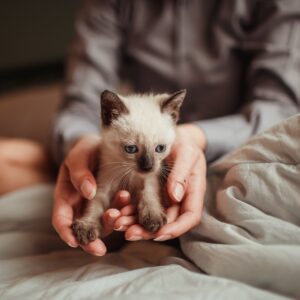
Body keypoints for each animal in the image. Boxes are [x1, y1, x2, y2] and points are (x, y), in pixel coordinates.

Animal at [71, 88, 186, 244]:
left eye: (160, 148)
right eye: (131, 149)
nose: (147, 167)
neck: (130, 175)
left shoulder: (151, 178)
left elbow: (149, 193)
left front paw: (152, 216)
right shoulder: (103, 185)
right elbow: (94, 205)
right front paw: (87, 226)